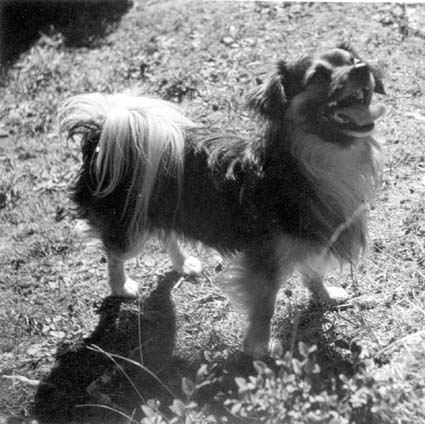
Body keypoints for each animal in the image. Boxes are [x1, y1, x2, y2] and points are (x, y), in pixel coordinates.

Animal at [59, 44, 386, 358]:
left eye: (352, 60)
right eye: (317, 76)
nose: (362, 68)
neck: (315, 163)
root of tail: (102, 133)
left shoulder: (315, 236)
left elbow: (314, 273)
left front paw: (326, 296)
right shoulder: (264, 261)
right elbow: (265, 305)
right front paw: (259, 346)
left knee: (167, 234)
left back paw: (184, 264)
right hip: (128, 229)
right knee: (114, 254)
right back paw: (122, 286)